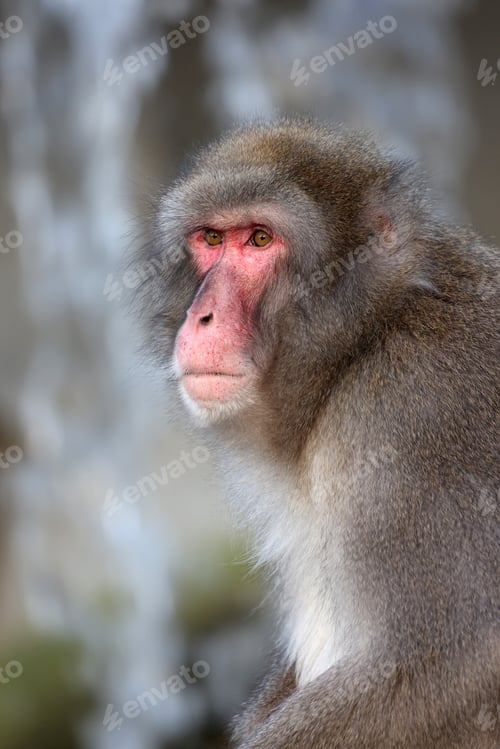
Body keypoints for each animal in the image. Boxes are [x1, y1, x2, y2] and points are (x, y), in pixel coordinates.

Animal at [136, 119, 500, 748]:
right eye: (212, 238)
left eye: (260, 240)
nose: (201, 317)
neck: (365, 342)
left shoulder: (409, 418)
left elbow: (444, 663)